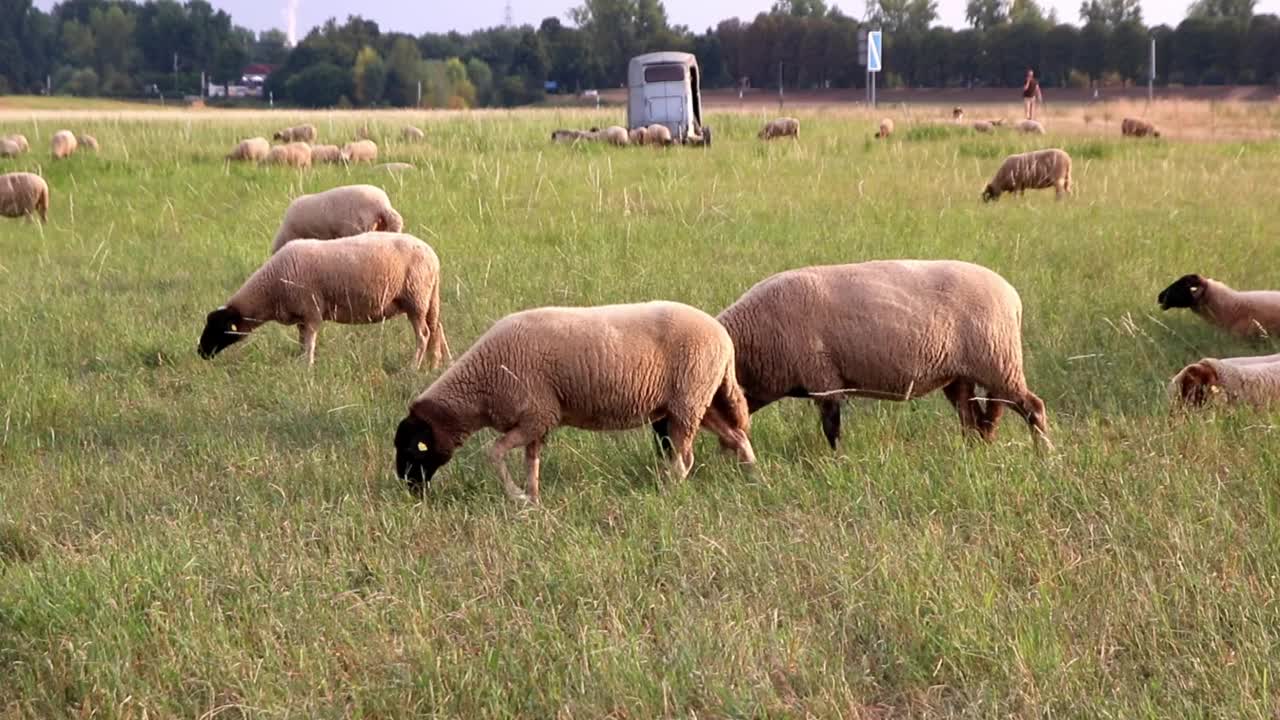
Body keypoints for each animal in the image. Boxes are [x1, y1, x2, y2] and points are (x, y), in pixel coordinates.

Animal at [194, 230, 445, 366]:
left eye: (219, 328)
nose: (200, 352)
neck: (271, 290)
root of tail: (432, 254)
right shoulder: (301, 316)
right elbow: (302, 341)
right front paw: (298, 363)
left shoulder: (311, 311)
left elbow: (310, 343)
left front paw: (307, 367)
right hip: (427, 298)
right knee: (435, 329)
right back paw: (433, 365)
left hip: (415, 299)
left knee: (423, 335)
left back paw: (412, 367)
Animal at [394, 299, 752, 502]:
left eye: (413, 448)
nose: (409, 490)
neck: (482, 386)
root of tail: (723, 337)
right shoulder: (536, 420)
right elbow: (531, 462)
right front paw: (533, 499)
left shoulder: (538, 415)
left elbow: (492, 453)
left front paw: (517, 497)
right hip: (697, 400)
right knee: (736, 435)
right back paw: (752, 476)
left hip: (688, 401)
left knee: (684, 459)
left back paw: (667, 491)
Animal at [711, 257, 1049, 448]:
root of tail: (1012, 296)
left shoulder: (823, 380)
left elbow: (832, 428)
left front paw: (836, 462)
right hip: (961, 375)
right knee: (974, 419)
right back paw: (974, 454)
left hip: (997, 361)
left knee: (1032, 407)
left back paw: (1044, 453)